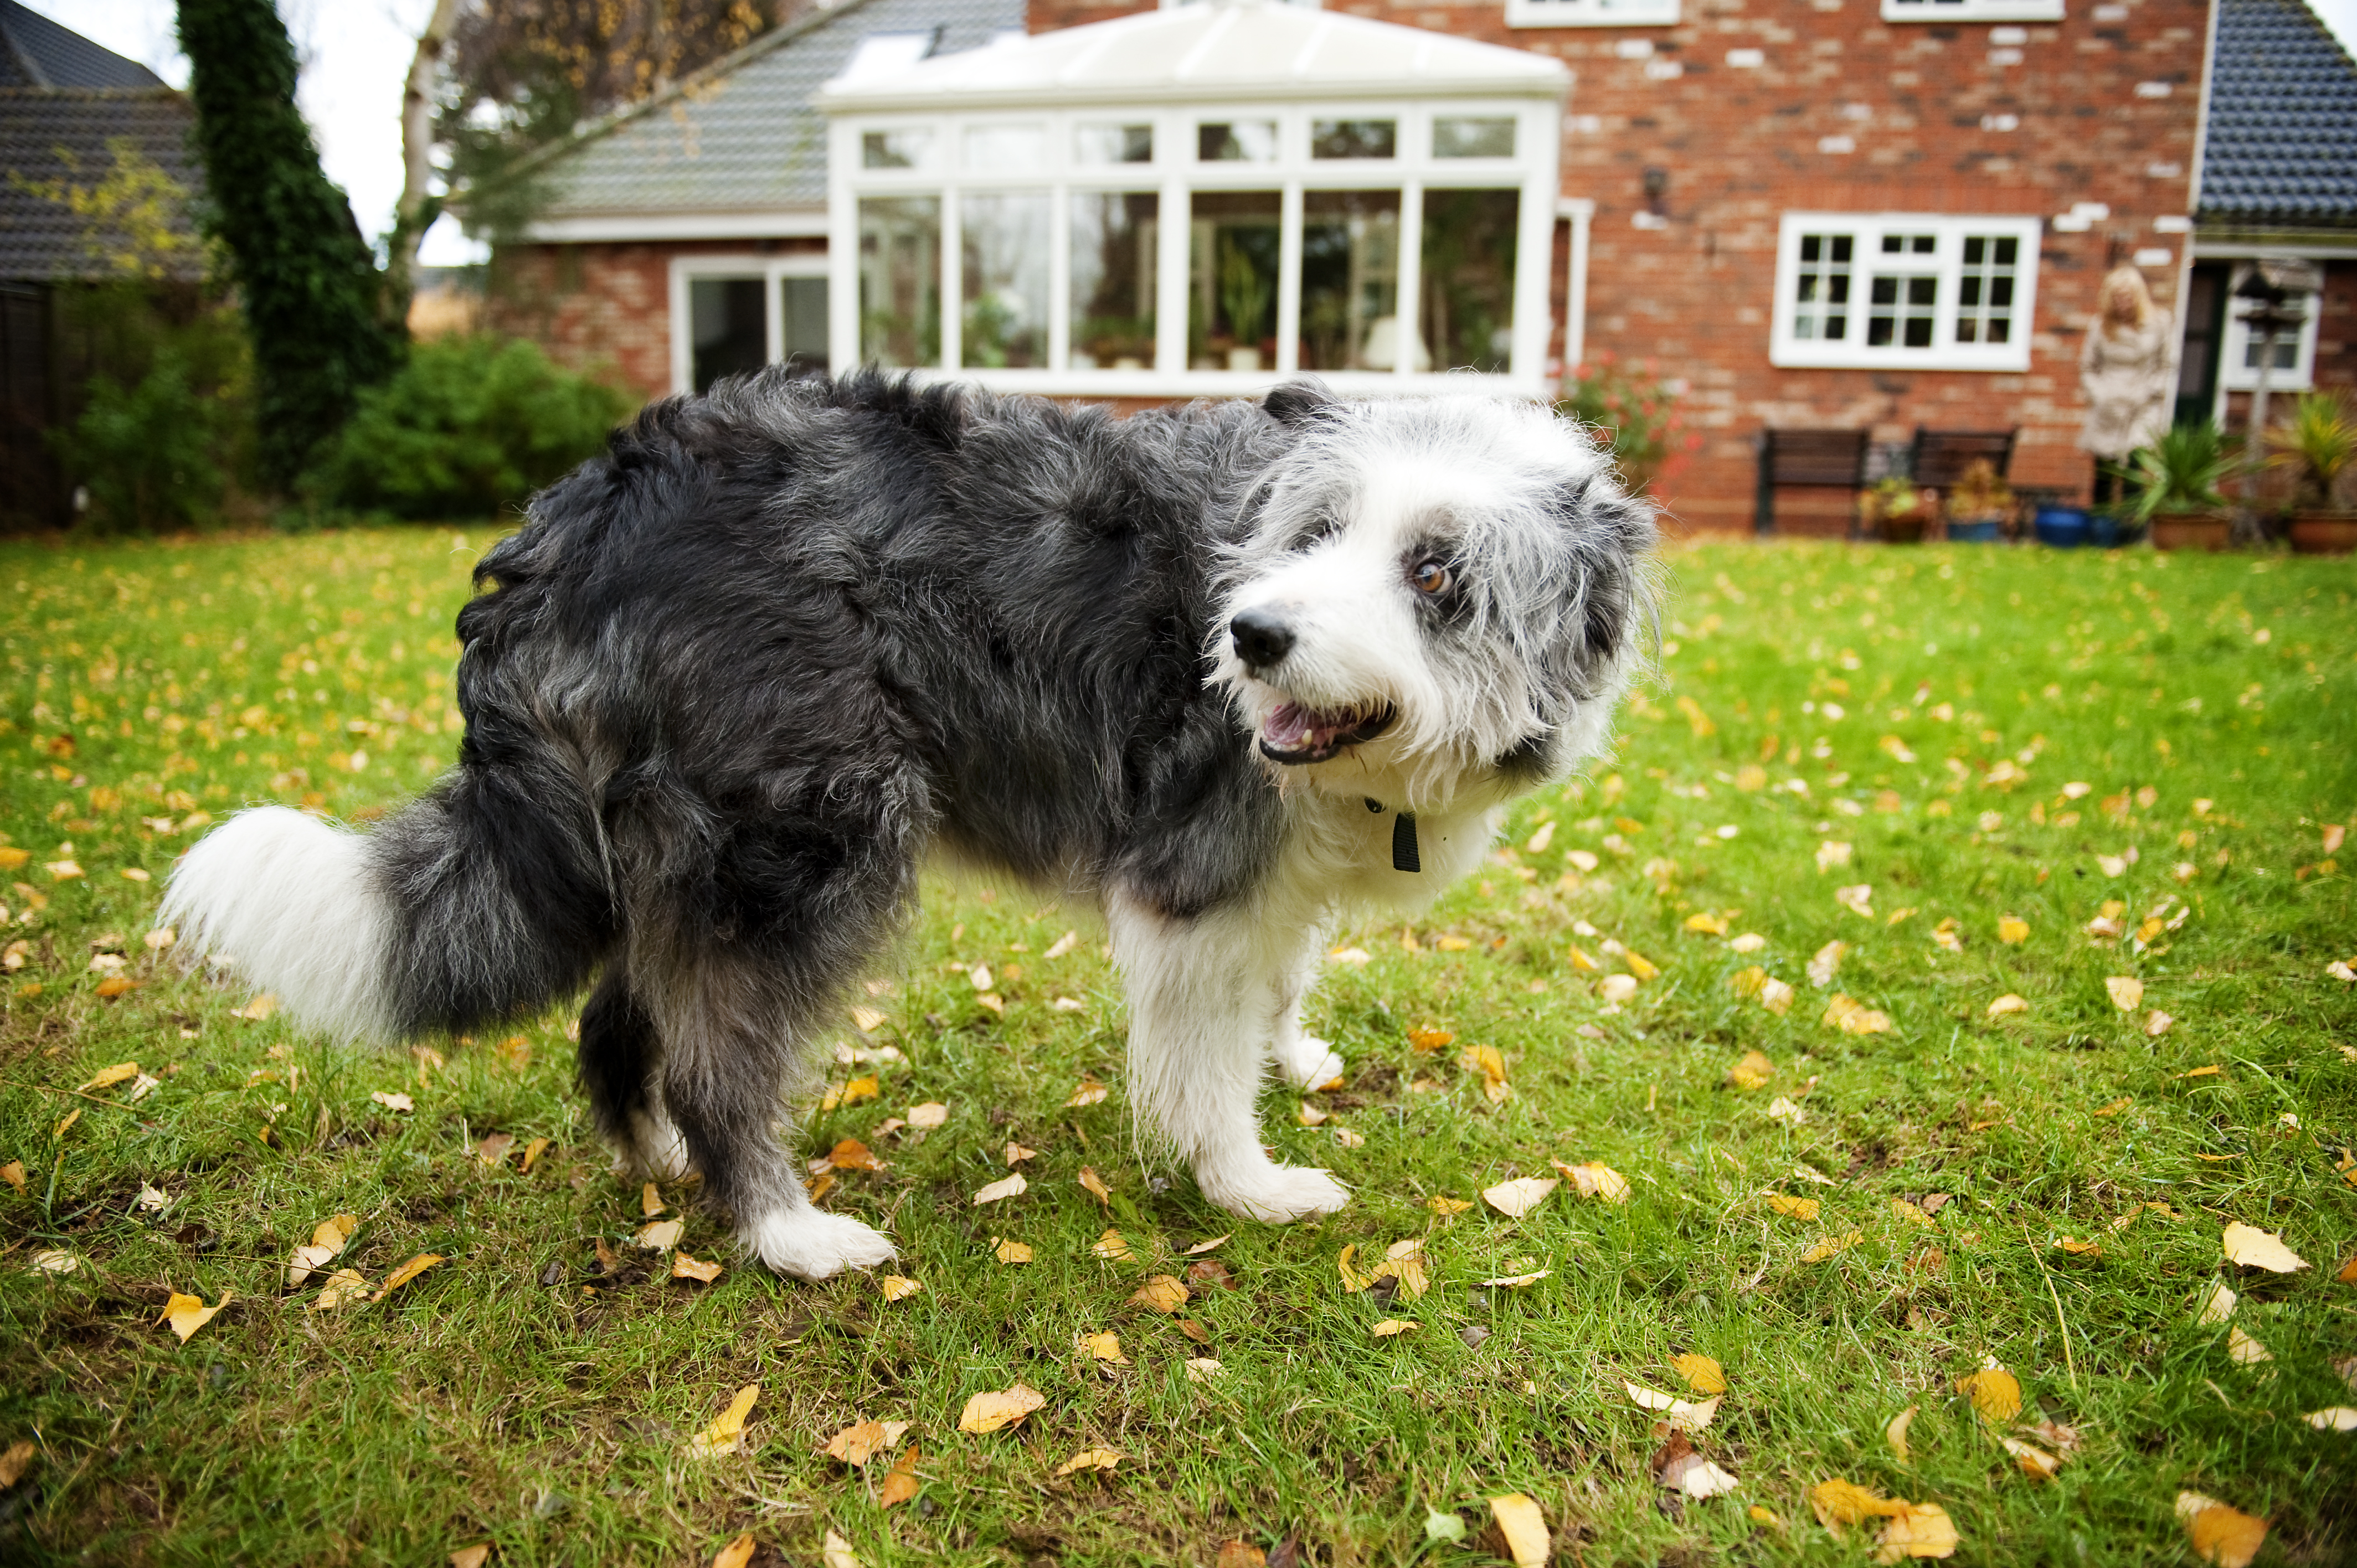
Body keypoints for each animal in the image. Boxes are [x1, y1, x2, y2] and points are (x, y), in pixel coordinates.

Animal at [161, 372, 1659, 1282]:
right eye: (1319, 530)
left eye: (1435, 573)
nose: (1252, 637)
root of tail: (580, 510)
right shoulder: (1194, 878)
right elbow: (1200, 1062)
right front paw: (1246, 1181)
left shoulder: (1272, 880)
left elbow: (1279, 984)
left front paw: (1291, 1058)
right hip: (807, 837)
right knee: (718, 1049)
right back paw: (780, 1225)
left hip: (681, 844)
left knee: (626, 1012)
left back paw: (662, 1161)